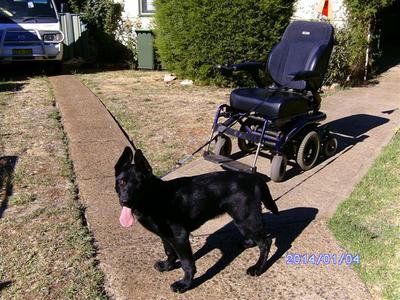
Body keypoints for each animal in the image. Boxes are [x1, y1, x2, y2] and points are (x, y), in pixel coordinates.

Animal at [115, 148, 278, 292]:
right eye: (122, 182)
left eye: (139, 184)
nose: (125, 201)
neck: (154, 197)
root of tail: (255, 179)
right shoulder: (165, 236)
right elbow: (169, 252)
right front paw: (167, 266)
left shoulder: (180, 237)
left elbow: (187, 264)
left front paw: (185, 284)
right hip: (241, 218)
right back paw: (248, 243)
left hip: (246, 217)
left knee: (265, 242)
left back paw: (258, 268)